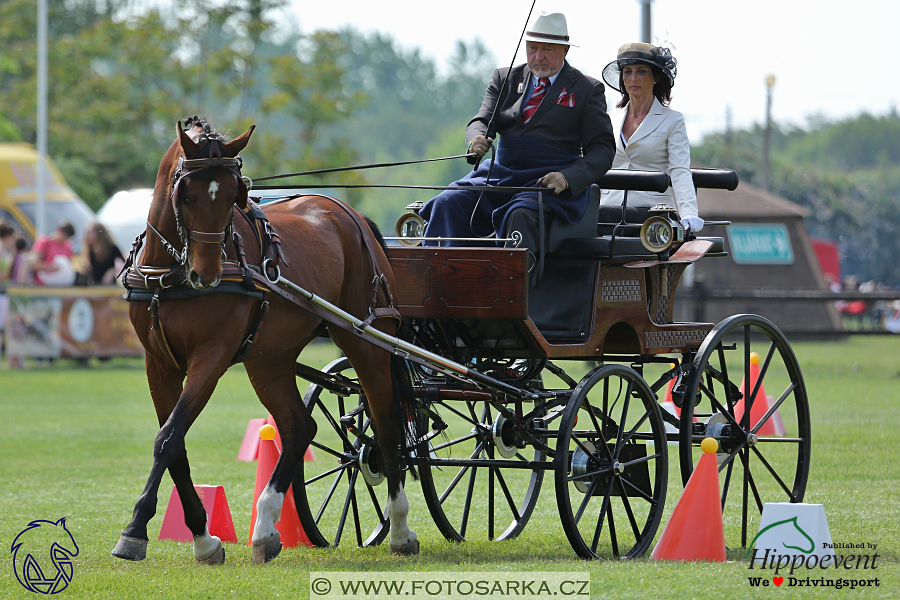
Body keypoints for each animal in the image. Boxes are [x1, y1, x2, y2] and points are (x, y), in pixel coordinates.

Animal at [110, 116, 420, 564]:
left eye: (231, 197)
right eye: (186, 194)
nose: (207, 275)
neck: (170, 275)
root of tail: (352, 216)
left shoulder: (211, 358)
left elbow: (168, 438)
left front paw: (135, 531)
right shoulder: (159, 364)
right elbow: (175, 444)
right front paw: (202, 539)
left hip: (367, 344)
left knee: (386, 424)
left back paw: (398, 528)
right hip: (269, 359)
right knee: (300, 426)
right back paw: (265, 528)